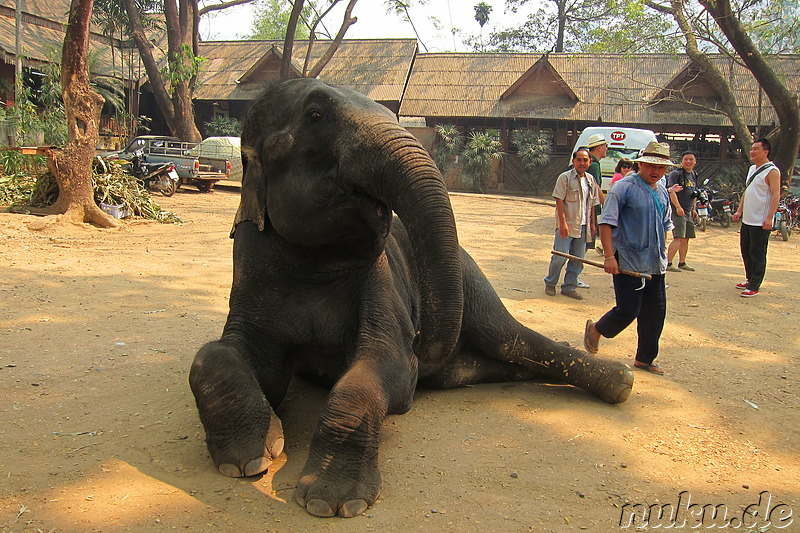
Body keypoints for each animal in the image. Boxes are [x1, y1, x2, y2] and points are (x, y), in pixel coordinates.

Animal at [191, 78, 636, 516]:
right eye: (315, 115)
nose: (419, 331)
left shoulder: (380, 281)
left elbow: (388, 365)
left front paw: (328, 500)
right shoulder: (250, 271)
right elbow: (224, 359)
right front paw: (250, 458)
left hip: (473, 281)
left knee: (509, 339)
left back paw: (621, 382)